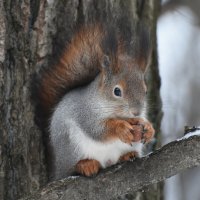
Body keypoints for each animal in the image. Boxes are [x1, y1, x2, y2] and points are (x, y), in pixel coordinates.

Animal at [32, 23, 155, 180]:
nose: (136, 112)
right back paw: (86, 165)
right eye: (117, 91)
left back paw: (127, 155)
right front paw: (121, 128)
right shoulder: (85, 112)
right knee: (72, 169)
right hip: (71, 147)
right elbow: (97, 130)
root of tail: (57, 169)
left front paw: (149, 128)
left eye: (145, 90)